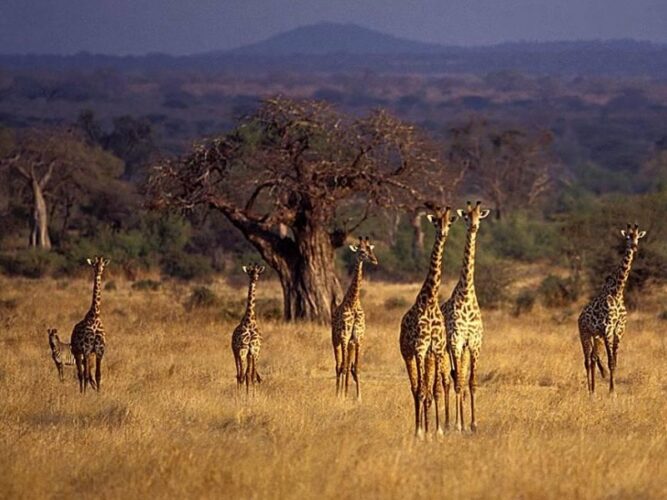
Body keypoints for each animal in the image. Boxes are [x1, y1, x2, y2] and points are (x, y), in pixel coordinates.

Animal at [70, 257, 109, 394]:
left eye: (103, 265)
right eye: (93, 265)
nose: (99, 271)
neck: (95, 315)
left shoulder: (99, 351)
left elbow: (98, 375)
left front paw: (99, 394)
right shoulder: (86, 349)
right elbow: (86, 375)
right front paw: (85, 394)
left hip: (88, 354)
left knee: (88, 374)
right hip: (77, 352)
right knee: (81, 374)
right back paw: (81, 392)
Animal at [331, 236, 378, 401]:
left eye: (371, 250)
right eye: (362, 251)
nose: (375, 260)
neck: (353, 302)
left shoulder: (357, 338)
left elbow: (355, 368)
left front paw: (358, 397)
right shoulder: (345, 336)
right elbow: (344, 367)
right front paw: (342, 396)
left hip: (349, 343)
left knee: (346, 366)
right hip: (336, 340)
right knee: (338, 365)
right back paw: (338, 393)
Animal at [399, 207, 457, 437]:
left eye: (449, 223)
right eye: (436, 223)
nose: (443, 233)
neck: (431, 300)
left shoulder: (437, 349)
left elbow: (436, 390)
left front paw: (438, 430)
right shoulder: (420, 348)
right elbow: (422, 390)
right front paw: (422, 432)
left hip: (428, 356)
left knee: (426, 389)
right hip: (407, 354)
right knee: (415, 388)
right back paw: (418, 428)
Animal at [578, 223, 646, 395]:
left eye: (637, 237)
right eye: (627, 237)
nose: (634, 247)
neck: (617, 292)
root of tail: (579, 318)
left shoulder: (618, 330)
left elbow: (614, 361)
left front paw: (612, 391)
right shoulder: (608, 329)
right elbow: (610, 361)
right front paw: (612, 392)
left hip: (596, 337)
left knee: (593, 358)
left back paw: (593, 390)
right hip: (585, 334)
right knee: (587, 360)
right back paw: (589, 391)